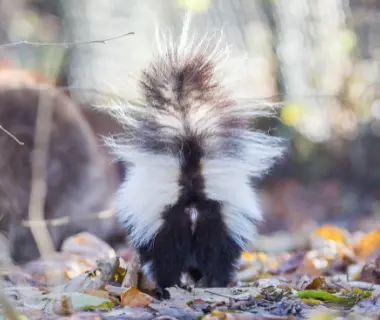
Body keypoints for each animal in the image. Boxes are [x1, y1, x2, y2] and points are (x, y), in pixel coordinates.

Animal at [104, 16, 284, 298]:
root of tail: (191, 192)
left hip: (167, 229)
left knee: (167, 263)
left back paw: (168, 288)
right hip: (219, 225)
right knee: (217, 260)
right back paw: (213, 284)